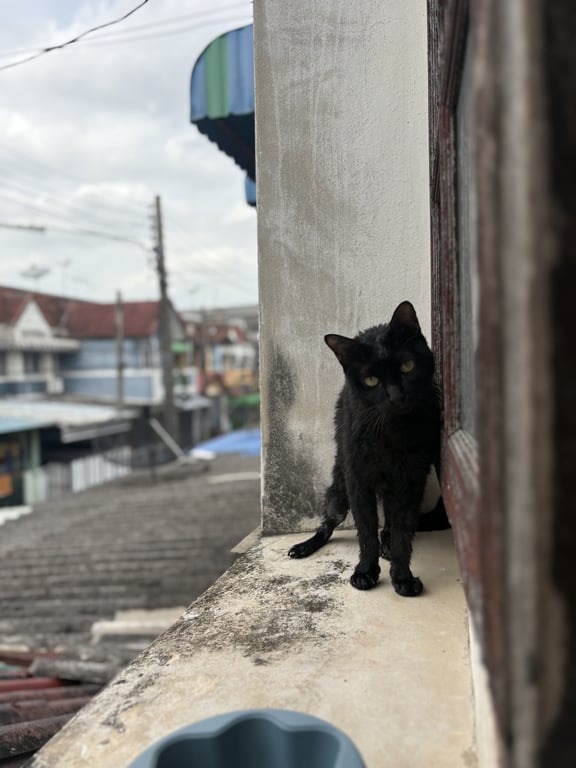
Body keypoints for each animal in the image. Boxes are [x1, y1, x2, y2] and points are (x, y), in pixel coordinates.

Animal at [288, 301, 446, 595]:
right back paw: (303, 547)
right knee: (327, 525)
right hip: (339, 492)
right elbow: (366, 530)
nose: (397, 396)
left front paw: (402, 577)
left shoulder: (412, 479)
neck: (392, 432)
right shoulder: (358, 480)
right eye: (371, 380)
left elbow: (402, 531)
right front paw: (365, 572)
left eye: (407, 366)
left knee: (390, 524)